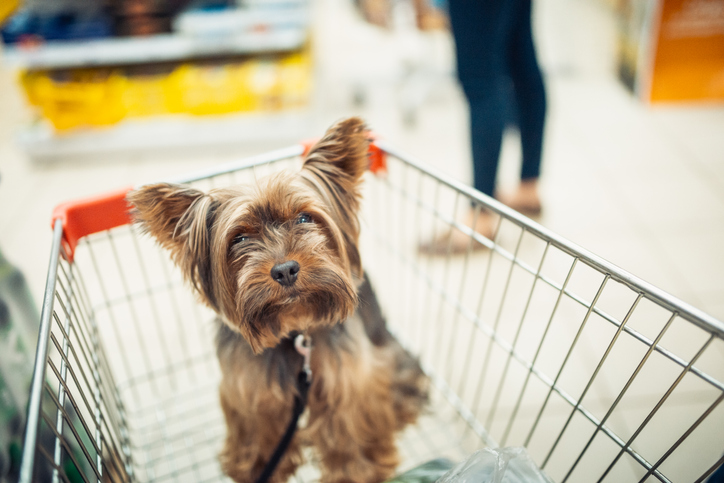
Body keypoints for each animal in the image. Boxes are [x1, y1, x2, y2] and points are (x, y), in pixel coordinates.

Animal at [127, 118, 428, 483]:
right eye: (240, 238)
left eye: (304, 218)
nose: (285, 270)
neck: (294, 329)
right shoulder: (249, 387)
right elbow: (259, 427)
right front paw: (258, 467)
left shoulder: (349, 380)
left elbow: (348, 427)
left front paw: (356, 470)